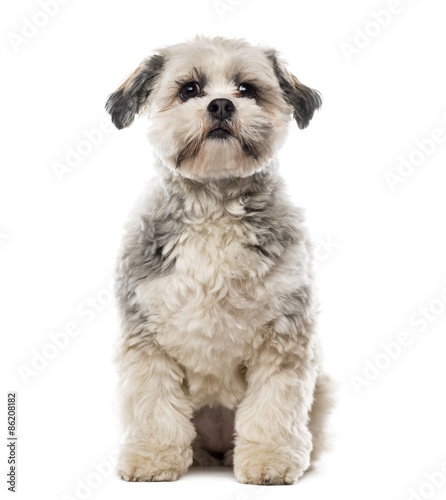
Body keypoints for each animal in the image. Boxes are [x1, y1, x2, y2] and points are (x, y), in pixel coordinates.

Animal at [106, 35, 332, 484]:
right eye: (189, 89)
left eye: (247, 89)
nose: (222, 105)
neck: (215, 205)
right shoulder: (146, 338)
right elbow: (153, 405)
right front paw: (152, 456)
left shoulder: (284, 338)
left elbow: (273, 408)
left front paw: (270, 459)